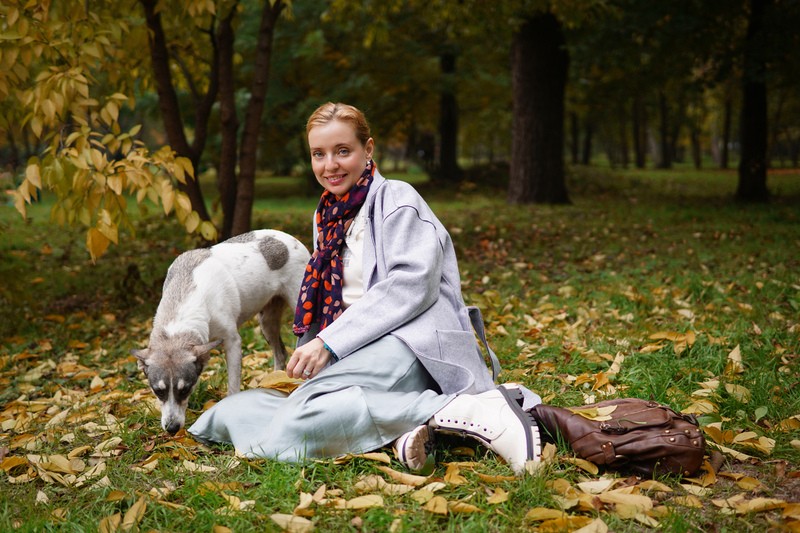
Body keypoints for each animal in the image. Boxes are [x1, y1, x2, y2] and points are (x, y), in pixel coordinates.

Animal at [131, 228, 310, 432]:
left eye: (185, 390)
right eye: (158, 391)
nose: (172, 429)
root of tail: (285, 236)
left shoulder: (233, 342)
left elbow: (232, 385)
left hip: (300, 311)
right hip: (267, 322)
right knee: (280, 352)